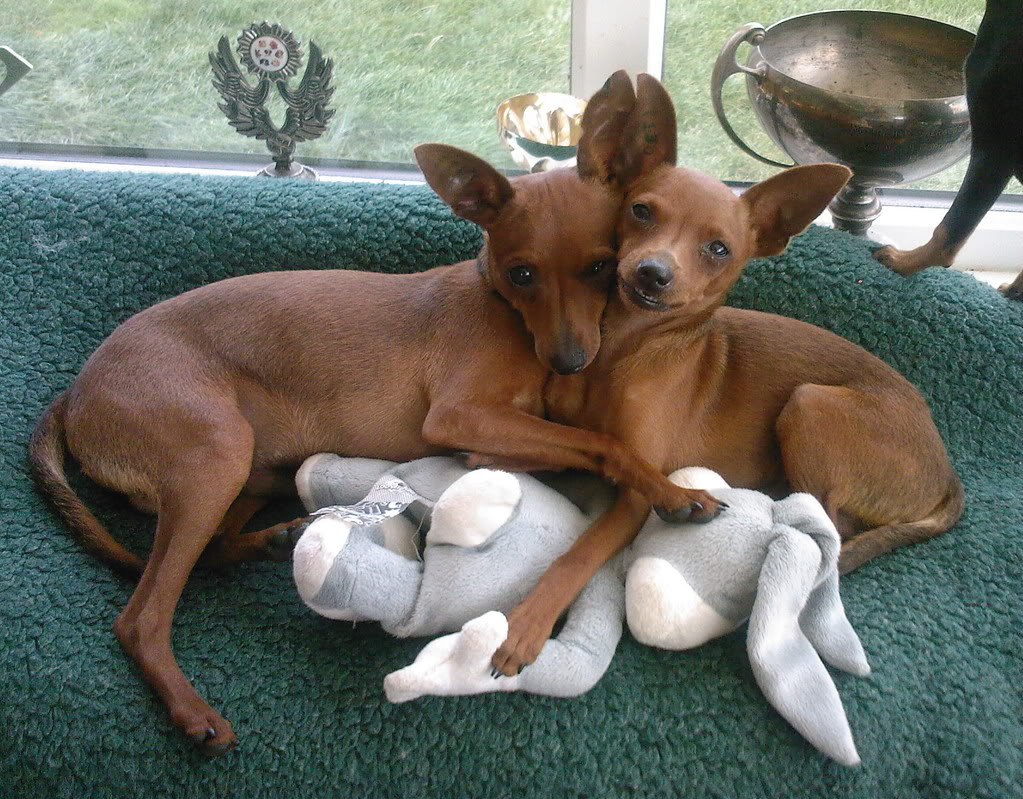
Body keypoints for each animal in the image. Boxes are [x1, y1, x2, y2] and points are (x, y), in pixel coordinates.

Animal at [28, 72, 722, 755]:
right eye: (522, 274)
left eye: (602, 266)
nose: (571, 361)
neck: (502, 310)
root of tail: (75, 394)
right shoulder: (458, 417)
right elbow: (602, 444)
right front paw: (674, 493)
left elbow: (573, 443)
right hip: (216, 456)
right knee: (141, 616)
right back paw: (192, 712)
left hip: (253, 471)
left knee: (209, 551)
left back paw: (273, 540)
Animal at [489, 74, 963, 676]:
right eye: (640, 211)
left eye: (719, 249)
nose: (652, 272)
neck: (623, 350)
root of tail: (947, 474)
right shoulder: (564, 437)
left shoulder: (639, 495)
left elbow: (580, 554)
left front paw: (527, 626)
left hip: (809, 404)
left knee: (828, 532)